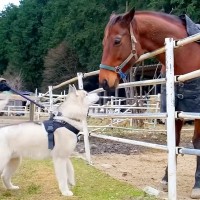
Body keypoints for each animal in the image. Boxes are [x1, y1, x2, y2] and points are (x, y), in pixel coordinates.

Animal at [99, 7, 200, 198]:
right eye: (103, 42)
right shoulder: (175, 111)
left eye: (117, 41)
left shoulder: (196, 111)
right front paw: (166, 179)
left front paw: (197, 185)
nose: (103, 81)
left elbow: (197, 142)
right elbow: (174, 142)